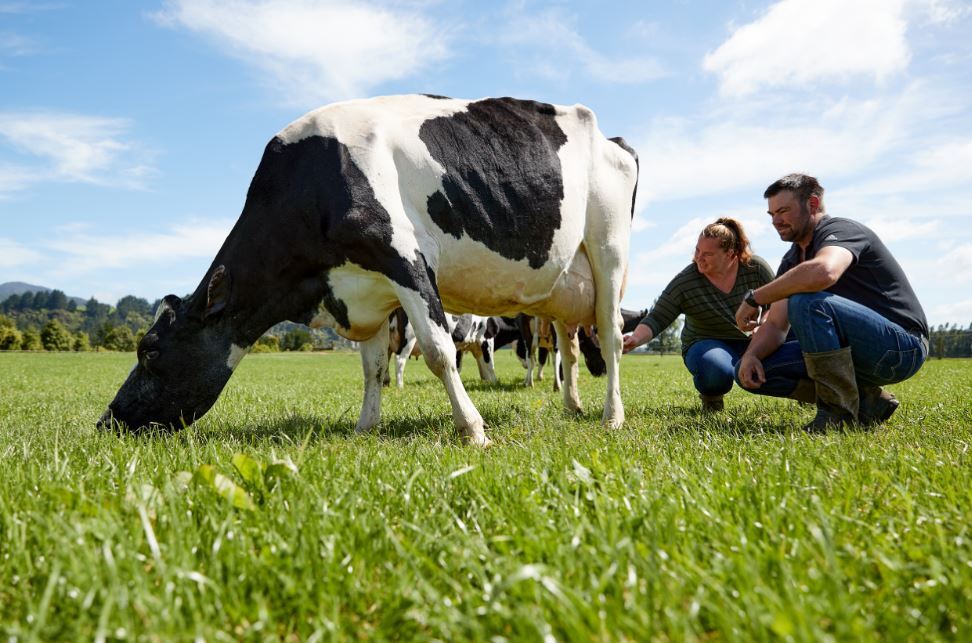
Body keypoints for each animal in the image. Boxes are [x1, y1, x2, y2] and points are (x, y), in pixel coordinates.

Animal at [98, 95, 636, 446]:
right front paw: (365, 428)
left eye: (149, 351)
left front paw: (473, 429)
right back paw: (572, 405)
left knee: (610, 336)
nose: (108, 419)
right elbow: (372, 365)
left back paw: (611, 417)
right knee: (568, 343)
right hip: (565, 282)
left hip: (608, 249)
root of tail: (610, 137)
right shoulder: (366, 291)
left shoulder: (405, 260)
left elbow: (438, 352)